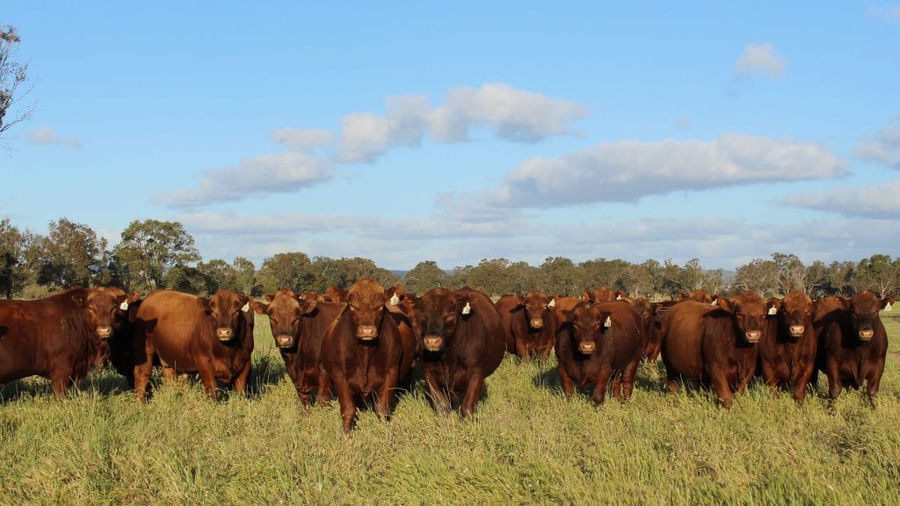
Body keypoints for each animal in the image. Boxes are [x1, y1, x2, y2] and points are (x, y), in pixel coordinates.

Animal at [322, 278, 416, 432]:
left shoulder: (391, 374)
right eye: (352, 306)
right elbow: (348, 410)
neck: (365, 353)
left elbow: (382, 409)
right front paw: (346, 434)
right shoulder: (340, 376)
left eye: (380, 306)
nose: (367, 330)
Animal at [407, 287, 505, 416]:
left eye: (450, 314)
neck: (448, 357)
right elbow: (442, 406)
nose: (432, 341)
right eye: (422, 315)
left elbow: (467, 408)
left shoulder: (476, 372)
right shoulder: (428, 372)